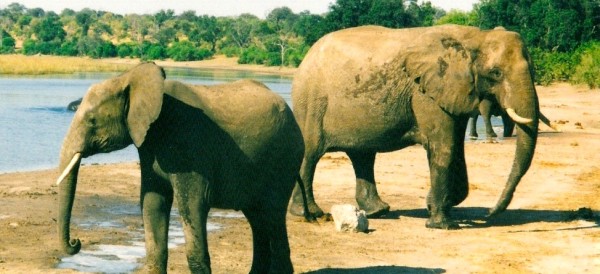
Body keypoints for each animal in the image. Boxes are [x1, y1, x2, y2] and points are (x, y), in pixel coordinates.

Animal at [290, 25, 544, 229]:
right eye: (496, 73)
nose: (490, 213)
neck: (475, 37)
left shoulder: (456, 93)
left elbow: (456, 150)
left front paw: (434, 205)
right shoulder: (426, 93)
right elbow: (445, 148)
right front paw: (443, 225)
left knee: (362, 156)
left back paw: (378, 211)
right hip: (311, 101)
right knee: (311, 153)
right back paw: (309, 214)